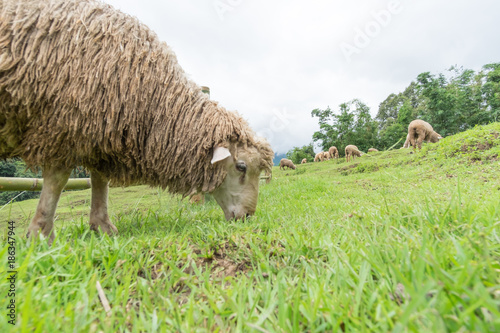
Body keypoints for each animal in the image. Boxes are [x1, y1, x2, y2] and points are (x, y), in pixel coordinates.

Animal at [0, 0, 274, 244]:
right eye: (241, 166)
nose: (247, 217)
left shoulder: (101, 130)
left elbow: (100, 179)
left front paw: (102, 226)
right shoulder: (63, 123)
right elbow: (57, 180)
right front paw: (41, 234)